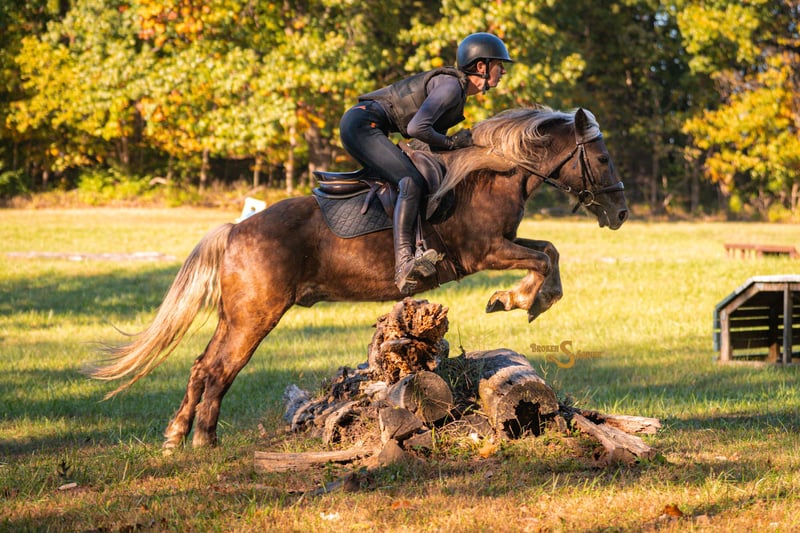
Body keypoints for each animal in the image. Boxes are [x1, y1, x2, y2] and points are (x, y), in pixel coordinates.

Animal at [89, 107, 628, 449]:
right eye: (603, 158)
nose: (621, 213)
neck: (491, 172)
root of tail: (237, 229)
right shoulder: (486, 251)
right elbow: (544, 260)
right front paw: (521, 300)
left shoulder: (504, 243)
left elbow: (548, 251)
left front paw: (521, 299)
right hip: (255, 316)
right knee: (220, 368)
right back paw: (201, 439)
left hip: (237, 315)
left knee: (203, 366)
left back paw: (180, 435)